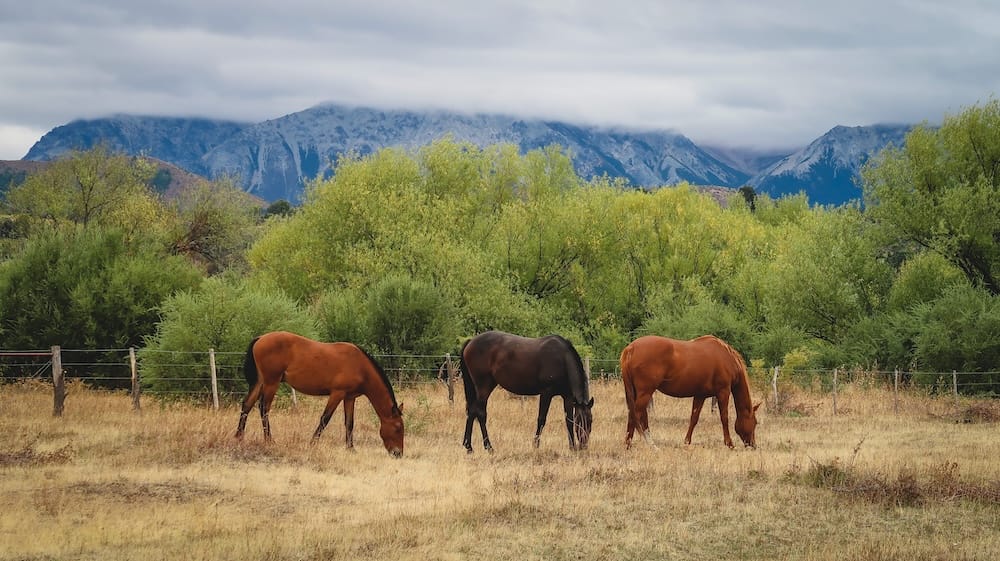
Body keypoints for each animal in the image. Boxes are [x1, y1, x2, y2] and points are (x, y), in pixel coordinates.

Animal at [234, 331, 404, 457]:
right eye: (398, 428)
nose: (398, 453)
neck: (359, 366)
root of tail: (260, 338)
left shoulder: (349, 398)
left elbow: (350, 423)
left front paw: (351, 448)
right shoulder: (337, 394)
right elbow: (325, 419)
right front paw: (313, 443)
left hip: (260, 382)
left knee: (247, 405)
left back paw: (239, 437)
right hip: (271, 382)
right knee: (264, 408)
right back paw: (269, 440)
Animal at [459, 330, 594, 453]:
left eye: (590, 420)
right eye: (579, 422)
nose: (583, 445)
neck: (561, 359)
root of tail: (470, 341)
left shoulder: (568, 397)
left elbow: (568, 421)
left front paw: (572, 447)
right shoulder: (546, 393)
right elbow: (541, 419)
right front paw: (535, 445)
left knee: (472, 411)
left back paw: (469, 447)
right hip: (484, 386)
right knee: (480, 413)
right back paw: (488, 447)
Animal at [620, 334, 759, 449]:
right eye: (755, 422)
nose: (753, 445)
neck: (726, 358)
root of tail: (630, 348)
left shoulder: (700, 395)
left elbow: (694, 418)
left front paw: (687, 441)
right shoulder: (723, 392)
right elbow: (724, 417)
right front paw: (729, 443)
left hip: (639, 393)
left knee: (637, 415)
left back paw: (645, 445)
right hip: (645, 393)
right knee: (636, 415)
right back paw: (634, 444)